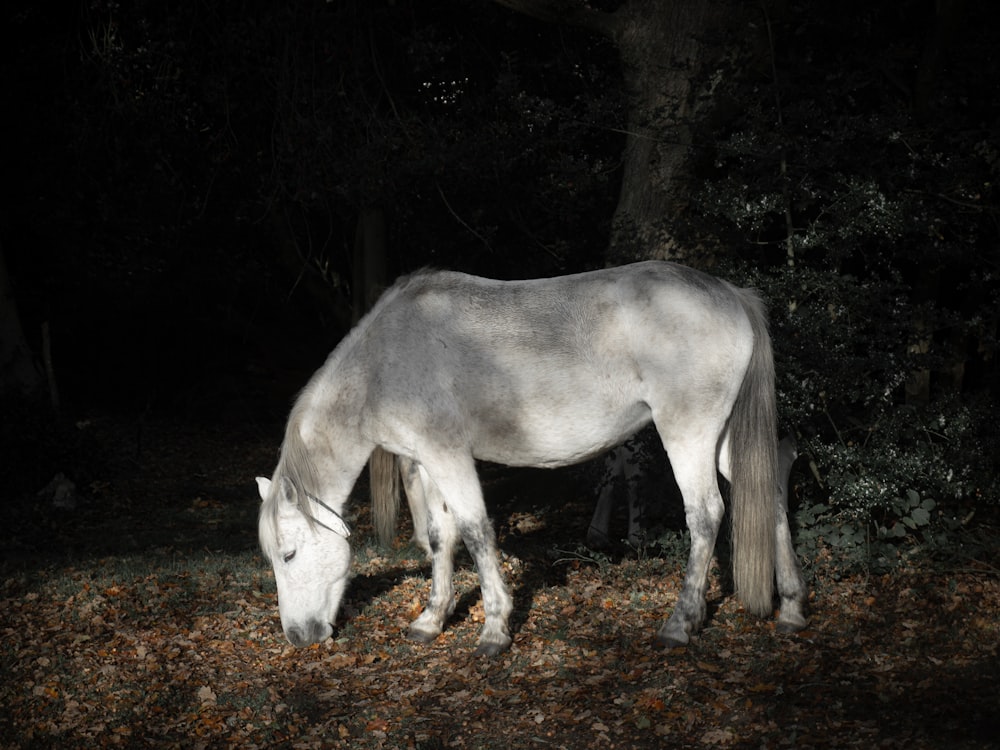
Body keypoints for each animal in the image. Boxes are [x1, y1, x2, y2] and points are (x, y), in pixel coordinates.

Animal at [254, 262, 808, 656]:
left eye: (289, 554)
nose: (297, 637)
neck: (384, 363)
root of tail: (732, 295)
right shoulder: (427, 463)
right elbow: (439, 537)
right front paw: (432, 619)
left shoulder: (449, 457)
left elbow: (476, 532)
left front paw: (494, 629)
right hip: (724, 440)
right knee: (769, 491)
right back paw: (791, 609)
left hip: (688, 434)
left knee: (707, 515)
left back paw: (679, 623)